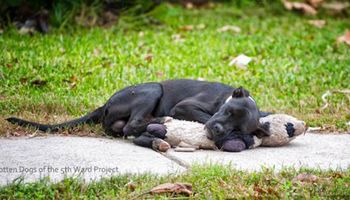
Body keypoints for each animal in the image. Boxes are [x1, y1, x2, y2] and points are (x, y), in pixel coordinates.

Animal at [6, 79, 270, 149]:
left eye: (238, 126)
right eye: (227, 111)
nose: (218, 130)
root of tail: (105, 104)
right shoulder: (184, 107)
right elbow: (203, 117)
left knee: (127, 128)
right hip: (152, 89)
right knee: (132, 125)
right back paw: (161, 122)